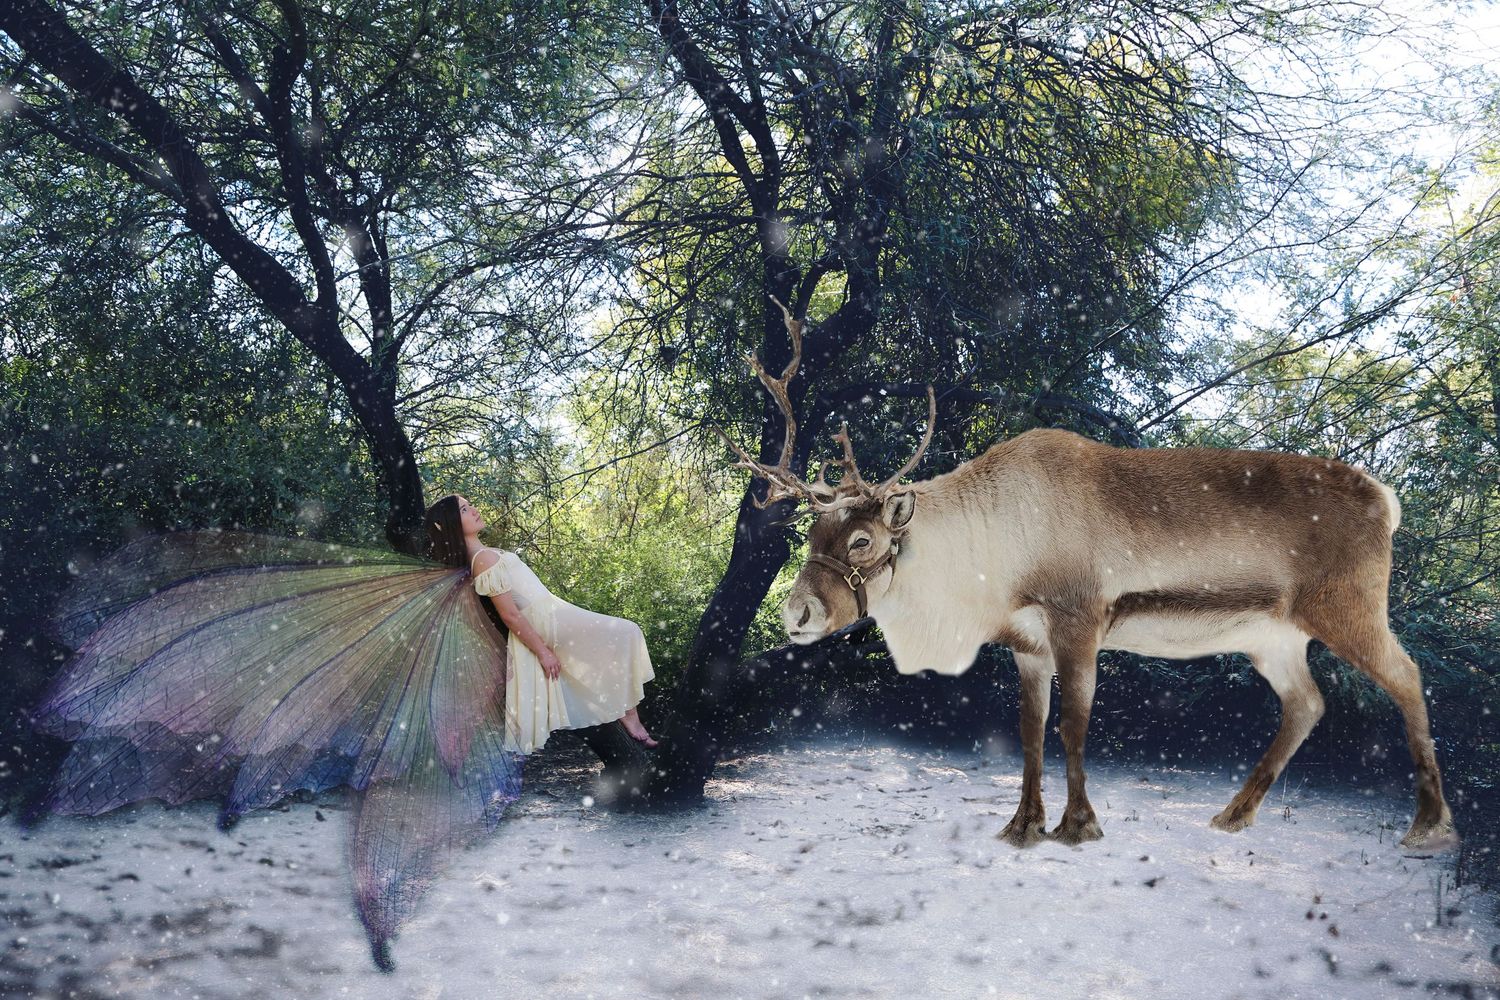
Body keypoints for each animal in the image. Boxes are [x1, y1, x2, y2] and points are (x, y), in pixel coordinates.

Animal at [719, 298, 1457, 851]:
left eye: (863, 539)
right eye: (810, 533)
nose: (797, 613)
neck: (988, 562)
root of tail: (1387, 500)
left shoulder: (1080, 619)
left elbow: (1074, 725)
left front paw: (1079, 825)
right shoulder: (1026, 644)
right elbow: (1029, 732)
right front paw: (1021, 826)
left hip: (1348, 607)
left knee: (1407, 677)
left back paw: (1429, 826)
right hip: (1270, 637)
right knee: (1307, 703)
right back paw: (1233, 814)